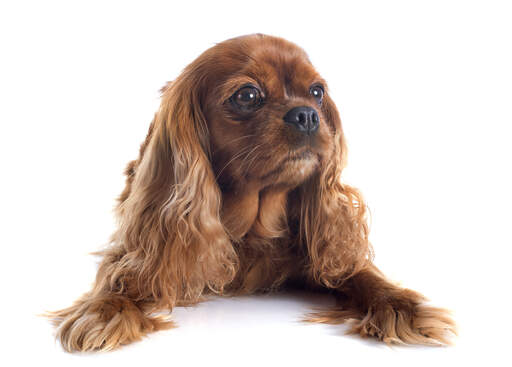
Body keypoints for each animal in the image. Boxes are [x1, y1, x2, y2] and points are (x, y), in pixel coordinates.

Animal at [48, 35, 456, 354]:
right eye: (248, 95)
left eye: (317, 92)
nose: (307, 114)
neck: (251, 230)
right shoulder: (132, 251)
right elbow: (114, 279)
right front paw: (102, 312)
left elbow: (364, 275)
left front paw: (403, 307)